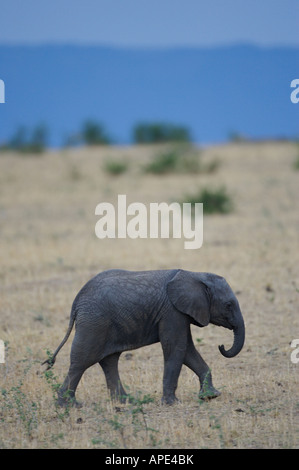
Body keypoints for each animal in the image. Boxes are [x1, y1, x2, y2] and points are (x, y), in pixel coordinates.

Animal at [44, 270, 246, 406]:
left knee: (109, 360)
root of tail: (77, 301)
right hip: (94, 323)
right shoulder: (172, 312)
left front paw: (211, 396)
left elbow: (187, 350)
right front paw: (172, 404)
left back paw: (126, 401)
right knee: (82, 361)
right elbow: (177, 348)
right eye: (228, 305)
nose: (221, 346)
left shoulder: (180, 313)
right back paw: (69, 406)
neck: (195, 275)